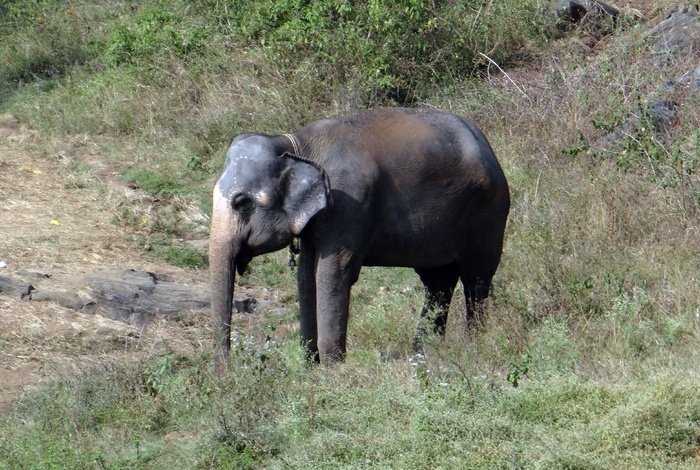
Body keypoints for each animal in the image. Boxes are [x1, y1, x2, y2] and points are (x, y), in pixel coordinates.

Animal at [208, 107, 508, 368]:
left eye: (242, 202)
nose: (227, 375)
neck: (295, 144)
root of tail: (486, 144)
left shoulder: (348, 203)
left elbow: (333, 272)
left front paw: (332, 370)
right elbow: (305, 275)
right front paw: (309, 366)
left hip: (488, 216)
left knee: (476, 279)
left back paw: (473, 345)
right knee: (438, 282)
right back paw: (426, 351)